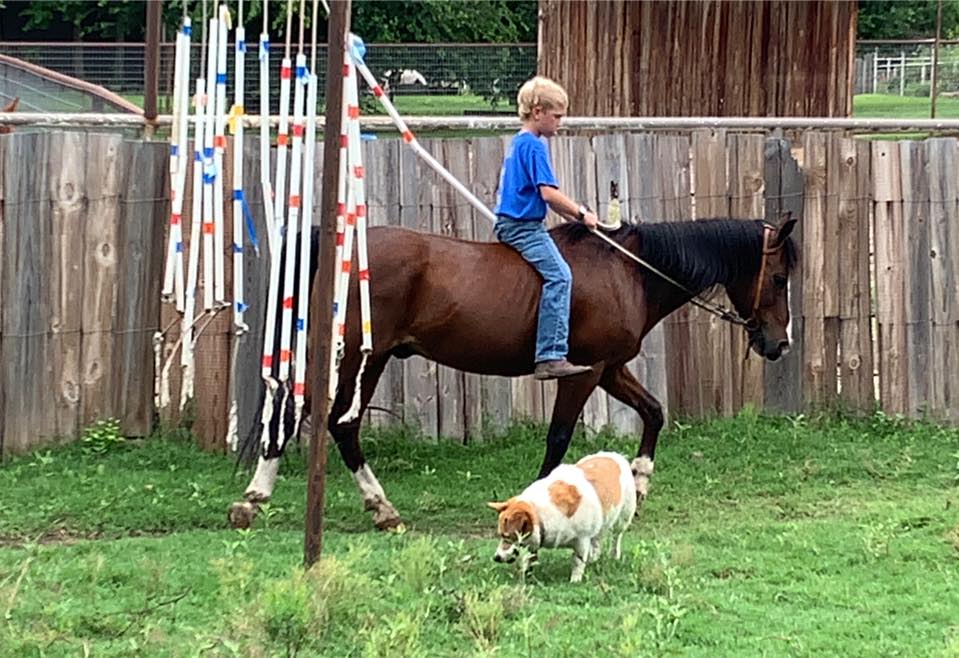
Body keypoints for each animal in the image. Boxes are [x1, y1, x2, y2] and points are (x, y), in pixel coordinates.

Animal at [229, 216, 798, 530]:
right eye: (777, 276)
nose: (780, 343)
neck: (629, 271)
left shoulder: (610, 369)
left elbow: (655, 412)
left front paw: (640, 481)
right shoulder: (582, 372)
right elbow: (559, 437)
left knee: (308, 420)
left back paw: (268, 501)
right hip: (358, 357)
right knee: (330, 423)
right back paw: (360, 505)